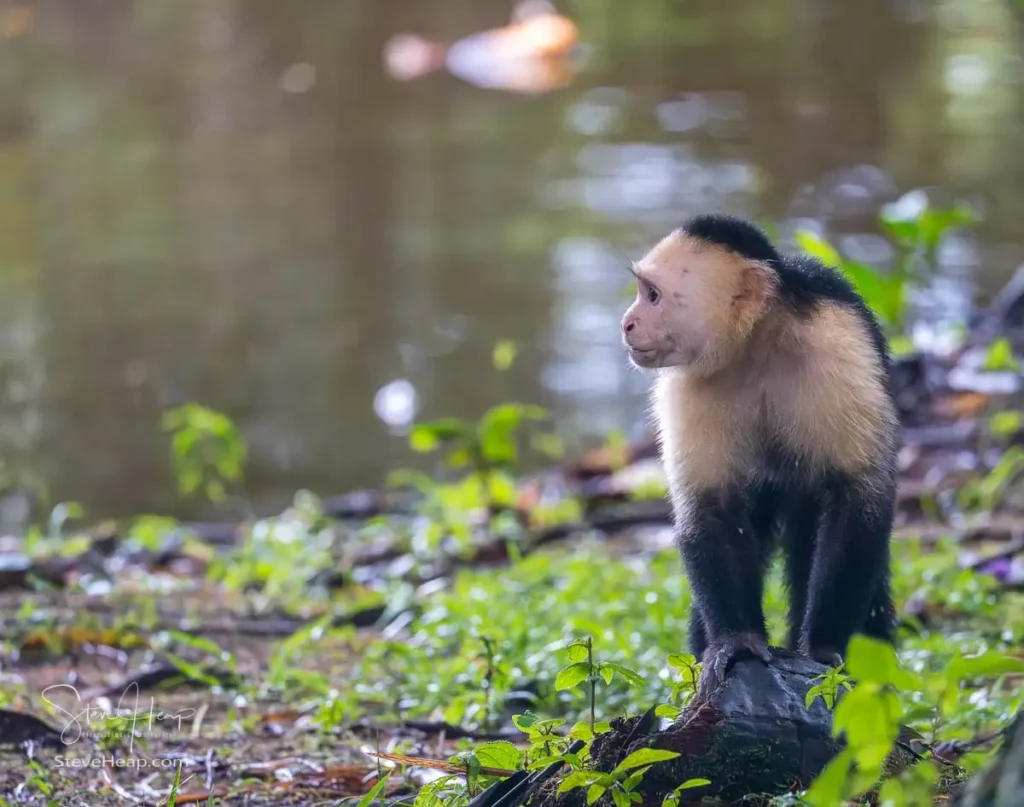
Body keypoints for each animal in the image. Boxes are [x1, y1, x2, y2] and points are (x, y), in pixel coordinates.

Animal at [619, 213, 899, 695]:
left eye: (652, 295)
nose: (626, 323)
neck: (755, 343)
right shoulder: (687, 384)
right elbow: (709, 506)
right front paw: (737, 642)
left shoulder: (837, 348)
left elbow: (858, 494)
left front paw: (822, 650)